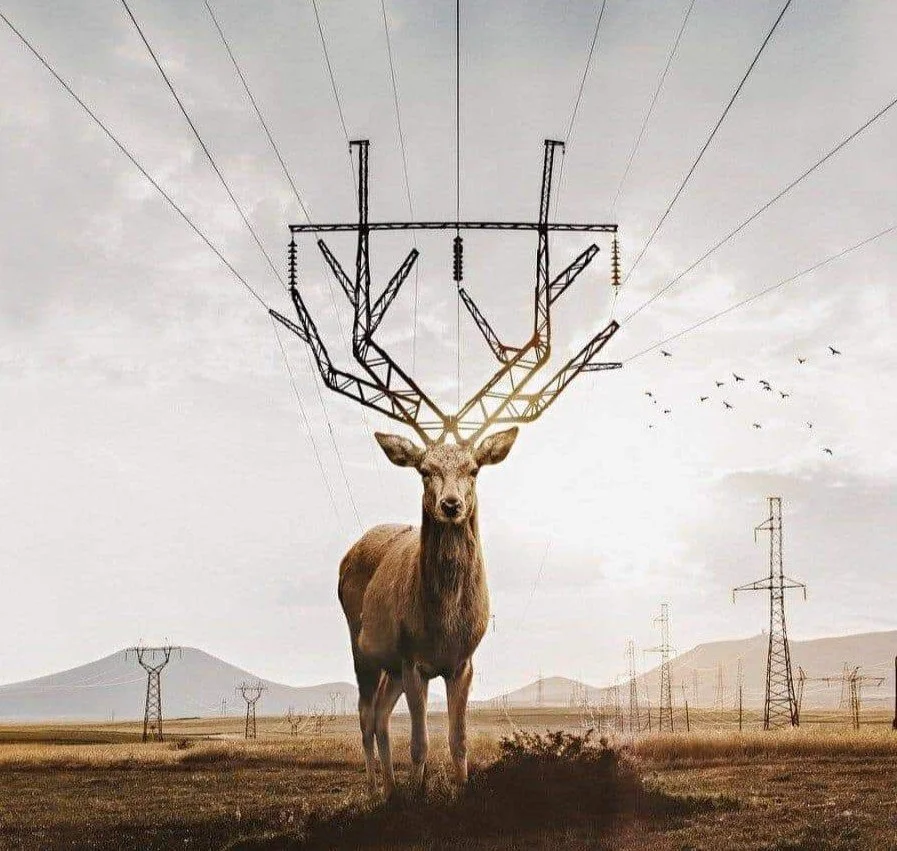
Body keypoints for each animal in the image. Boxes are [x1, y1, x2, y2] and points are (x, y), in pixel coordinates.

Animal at [271, 139, 621, 796]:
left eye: (476, 469)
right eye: (423, 469)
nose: (451, 504)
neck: (444, 622)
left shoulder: (465, 661)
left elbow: (457, 741)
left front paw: (456, 792)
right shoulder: (411, 656)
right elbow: (421, 743)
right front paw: (413, 795)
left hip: (387, 662)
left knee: (379, 715)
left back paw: (385, 784)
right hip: (362, 645)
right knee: (366, 716)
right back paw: (377, 788)